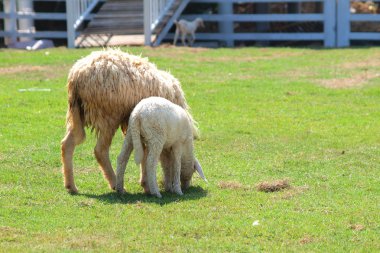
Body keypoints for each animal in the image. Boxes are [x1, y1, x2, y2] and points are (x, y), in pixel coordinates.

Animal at [60, 48, 189, 193]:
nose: (186, 185)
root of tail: (77, 75)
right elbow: (146, 154)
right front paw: (147, 185)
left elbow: (143, 152)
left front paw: (145, 183)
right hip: (108, 116)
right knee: (100, 150)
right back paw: (115, 183)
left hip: (77, 112)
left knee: (69, 142)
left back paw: (71, 186)